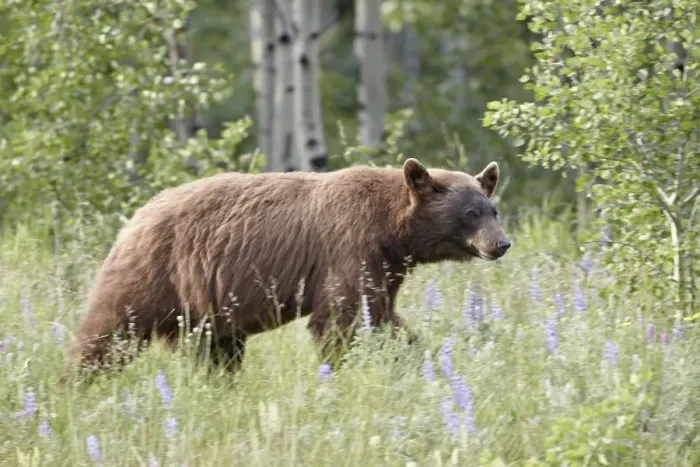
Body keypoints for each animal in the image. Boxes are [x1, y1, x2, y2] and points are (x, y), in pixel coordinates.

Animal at [64, 158, 511, 376]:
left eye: (493, 209)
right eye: (470, 213)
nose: (501, 244)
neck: (392, 229)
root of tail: (134, 218)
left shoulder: (384, 264)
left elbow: (382, 315)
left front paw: (420, 358)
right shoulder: (349, 245)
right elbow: (340, 320)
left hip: (206, 309)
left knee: (217, 351)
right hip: (154, 274)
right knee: (108, 331)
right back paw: (75, 383)